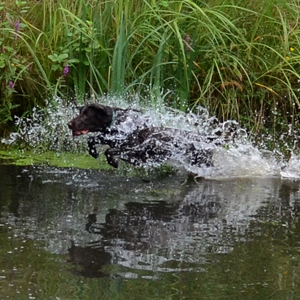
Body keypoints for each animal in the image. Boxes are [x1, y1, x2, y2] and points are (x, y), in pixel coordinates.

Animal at [68, 103, 223, 169]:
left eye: (86, 115)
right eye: (80, 112)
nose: (69, 124)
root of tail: (206, 139)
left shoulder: (130, 147)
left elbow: (109, 151)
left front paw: (113, 162)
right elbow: (93, 140)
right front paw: (94, 152)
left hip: (202, 161)